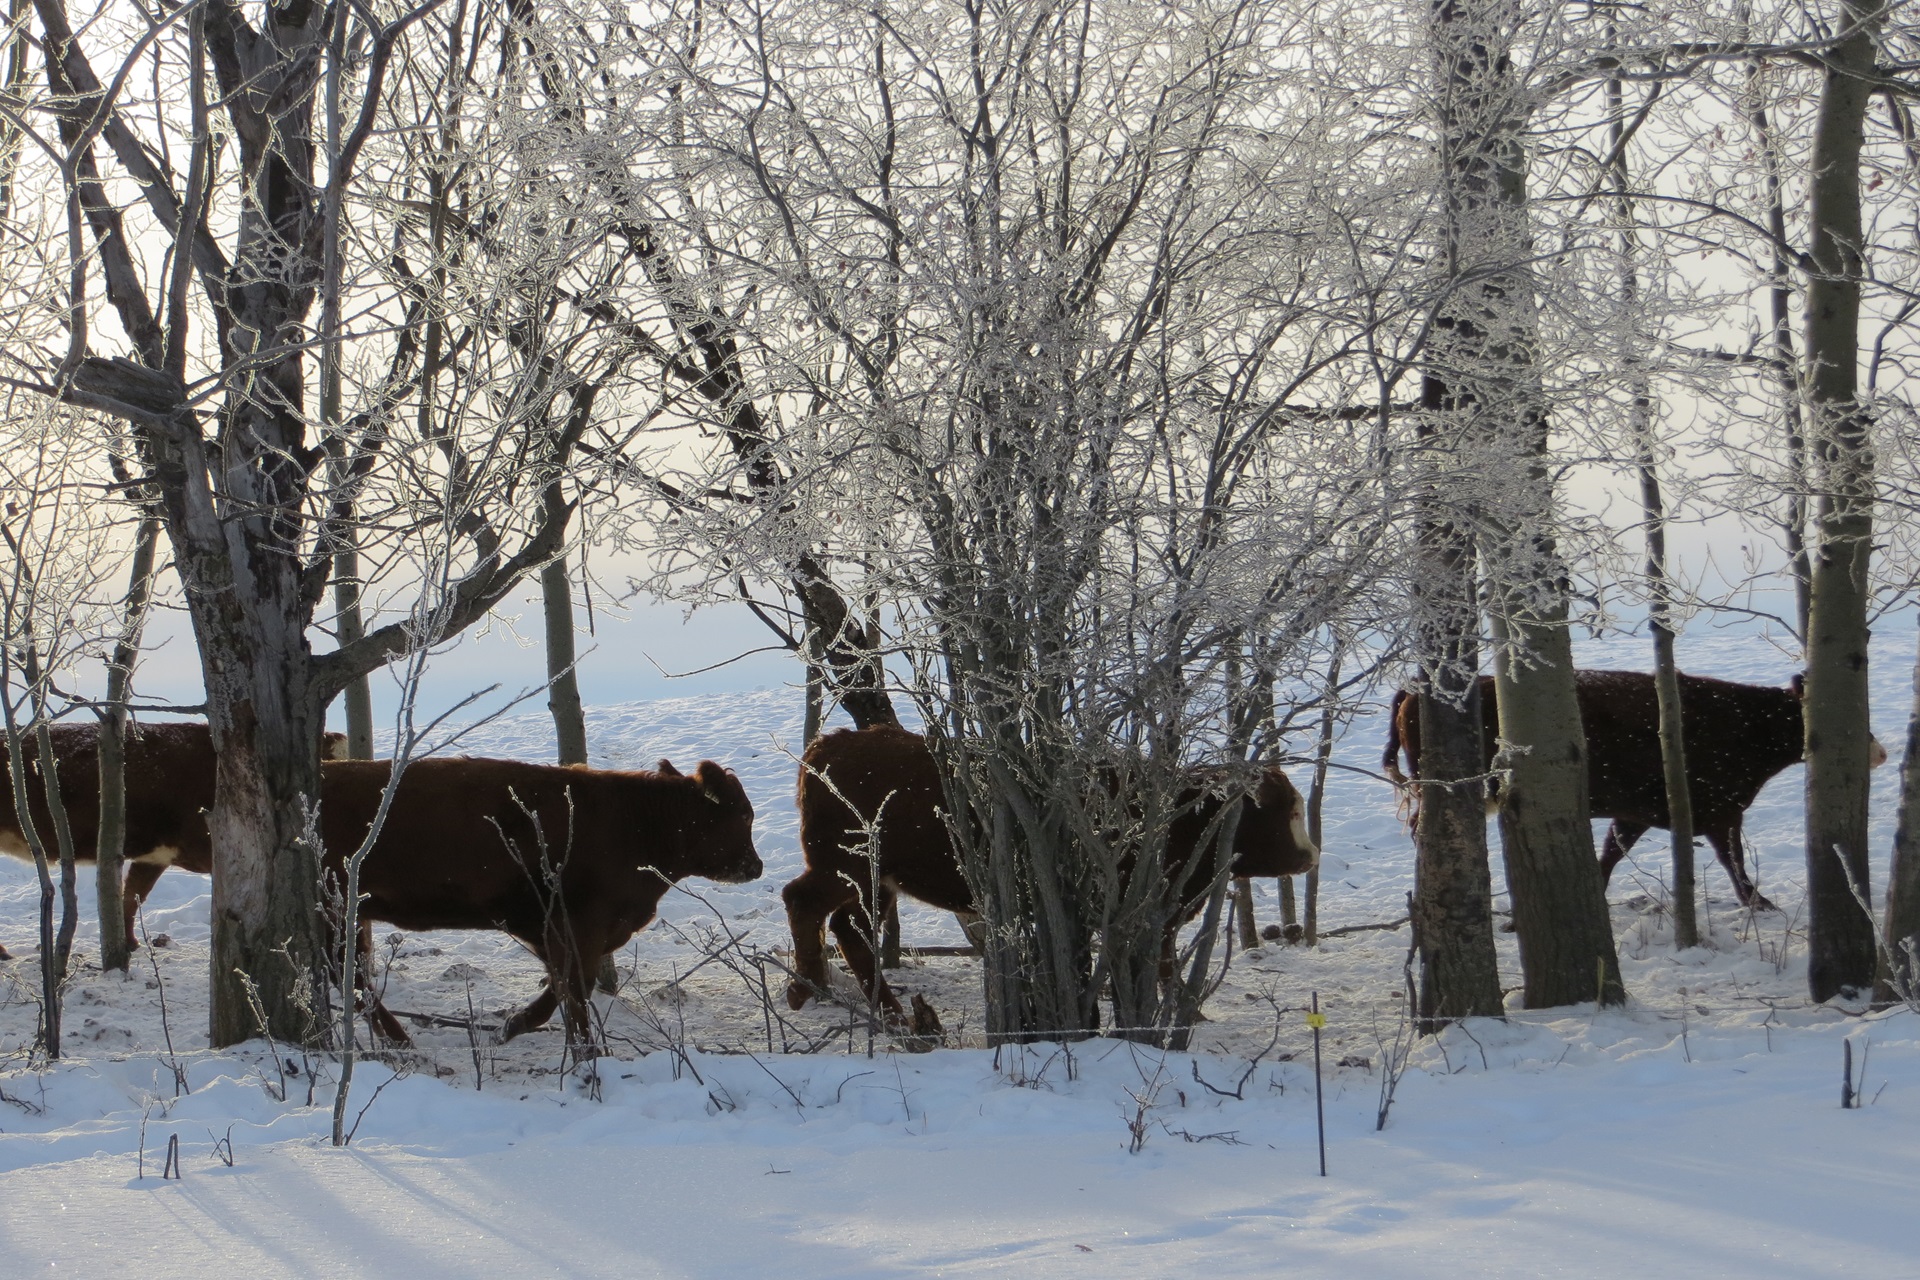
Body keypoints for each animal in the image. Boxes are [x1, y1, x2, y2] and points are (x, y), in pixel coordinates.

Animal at [318, 756, 760, 1043]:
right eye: (743, 814)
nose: (755, 866)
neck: (632, 823)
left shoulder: (555, 930)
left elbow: (561, 986)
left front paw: (511, 1026)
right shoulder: (579, 926)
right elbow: (573, 989)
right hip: (336, 913)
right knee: (350, 977)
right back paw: (399, 1039)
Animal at [783, 725, 1320, 1013]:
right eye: (1288, 810)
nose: (1312, 855)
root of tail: (828, 745)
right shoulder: (1147, 912)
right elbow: (1160, 962)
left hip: (872, 882)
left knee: (840, 923)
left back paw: (853, 999)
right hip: (849, 869)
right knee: (808, 905)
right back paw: (819, 992)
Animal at [1382, 671, 1889, 909]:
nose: (1880, 752)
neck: (1743, 724)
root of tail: (1416, 687)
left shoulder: (1636, 813)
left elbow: (1610, 854)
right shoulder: (1722, 811)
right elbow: (1734, 860)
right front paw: (1758, 902)